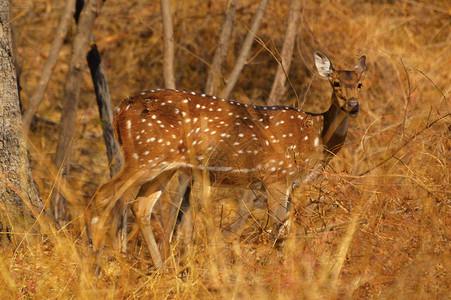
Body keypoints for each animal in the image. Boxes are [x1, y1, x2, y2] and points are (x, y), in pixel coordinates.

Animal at [91, 50, 368, 266]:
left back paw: (162, 268)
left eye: (360, 84)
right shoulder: (275, 175)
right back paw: (93, 262)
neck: (313, 136)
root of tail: (120, 110)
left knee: (140, 205)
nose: (353, 105)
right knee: (104, 194)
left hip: (165, 165)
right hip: (144, 156)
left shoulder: (292, 183)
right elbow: (277, 229)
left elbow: (287, 229)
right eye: (335, 83)